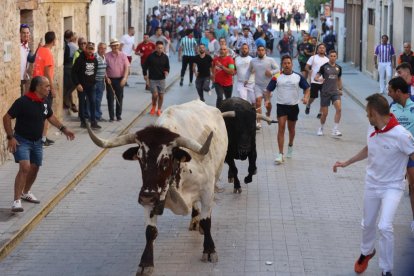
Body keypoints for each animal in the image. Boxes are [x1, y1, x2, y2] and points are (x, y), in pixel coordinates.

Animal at [86, 100, 226, 274]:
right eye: (140, 158)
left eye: (165, 160)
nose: (146, 196)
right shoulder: (151, 197)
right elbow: (150, 231)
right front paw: (146, 263)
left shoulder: (207, 191)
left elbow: (207, 221)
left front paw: (209, 249)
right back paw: (194, 220)